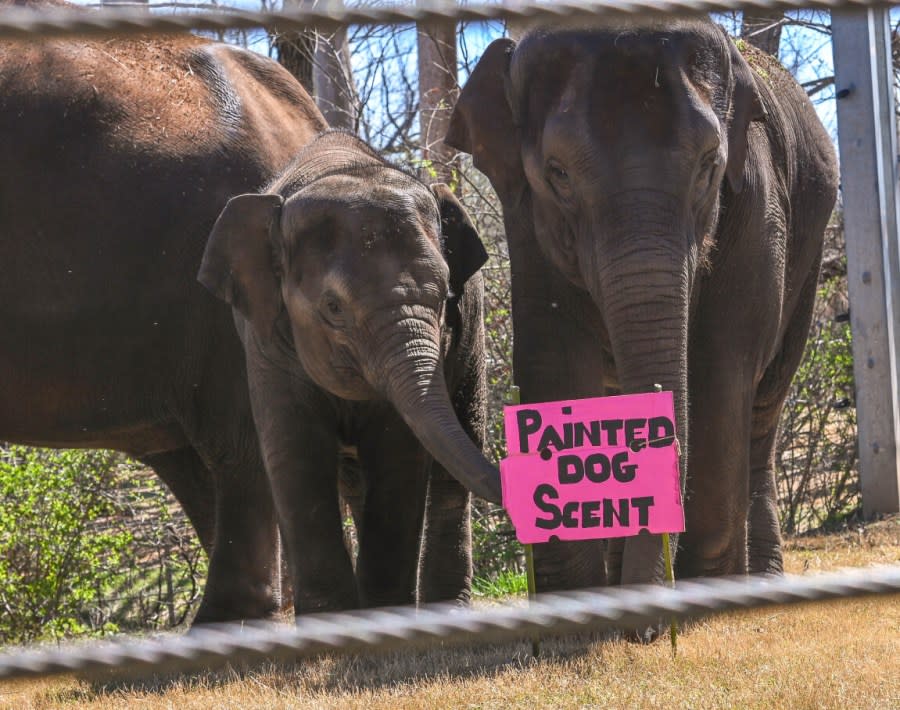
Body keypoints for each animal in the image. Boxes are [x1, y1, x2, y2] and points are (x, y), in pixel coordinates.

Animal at [198, 132, 502, 612]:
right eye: (333, 307)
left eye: (443, 298)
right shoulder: (267, 345)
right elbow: (295, 451)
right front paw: (336, 619)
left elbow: (399, 453)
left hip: (473, 338)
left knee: (456, 461)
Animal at [446, 19, 840, 604]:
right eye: (558, 173)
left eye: (709, 166)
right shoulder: (527, 223)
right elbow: (554, 358)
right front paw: (575, 601)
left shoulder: (757, 200)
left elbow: (723, 362)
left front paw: (704, 594)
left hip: (810, 252)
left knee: (763, 406)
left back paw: (759, 577)